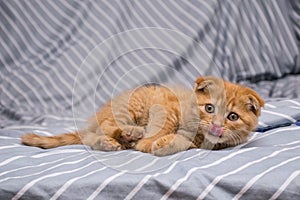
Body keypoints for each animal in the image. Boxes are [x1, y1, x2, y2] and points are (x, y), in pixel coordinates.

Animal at [22, 76, 264, 156]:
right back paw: (131, 133)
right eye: (210, 108)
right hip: (132, 106)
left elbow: (181, 141)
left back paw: (112, 143)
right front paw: (148, 142)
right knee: (107, 126)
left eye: (232, 117)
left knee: (94, 138)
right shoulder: (165, 105)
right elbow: (163, 125)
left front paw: (163, 144)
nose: (216, 125)